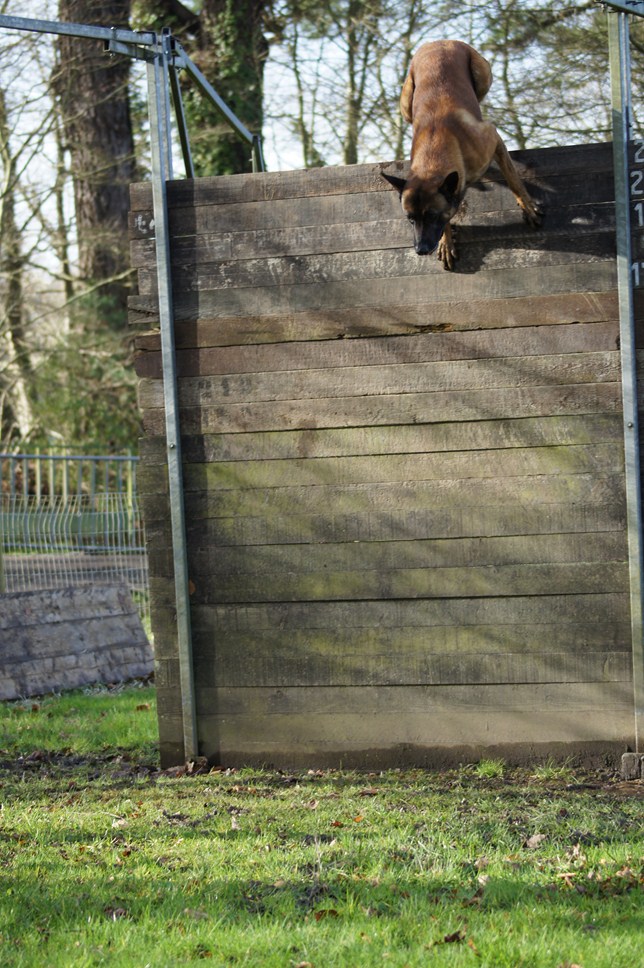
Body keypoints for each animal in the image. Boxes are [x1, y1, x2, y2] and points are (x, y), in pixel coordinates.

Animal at [384, 39, 540, 268]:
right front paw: (446, 242)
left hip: (482, 75)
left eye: (432, 216)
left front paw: (528, 207)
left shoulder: (492, 137)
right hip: (406, 105)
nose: (421, 250)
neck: (435, 148)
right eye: (410, 219)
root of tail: (438, 41)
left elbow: (514, 180)